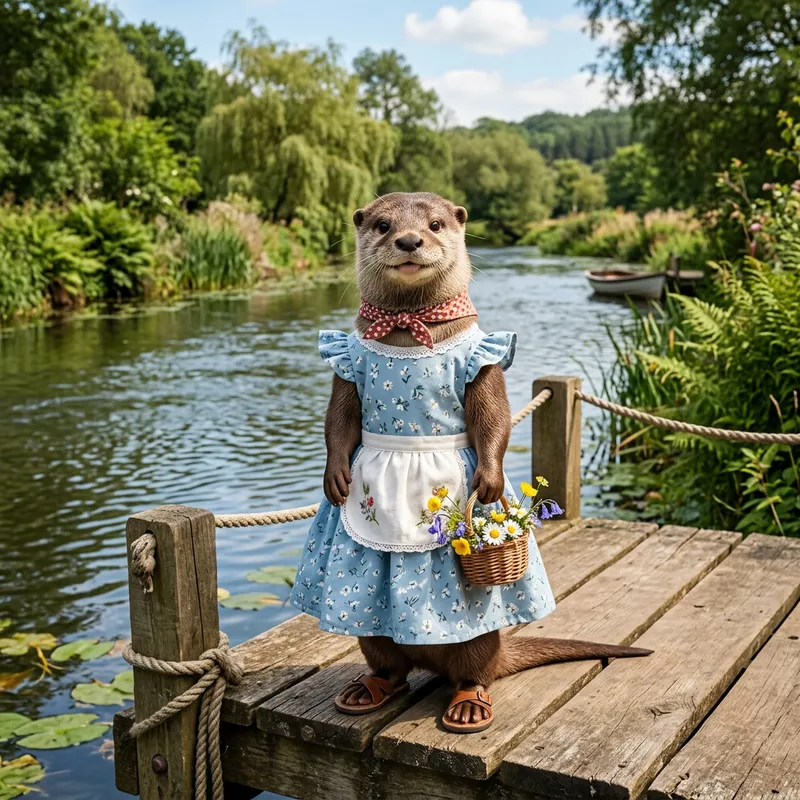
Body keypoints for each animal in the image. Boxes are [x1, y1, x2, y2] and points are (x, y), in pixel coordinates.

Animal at [320, 192, 650, 731]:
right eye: (384, 225)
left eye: (435, 224)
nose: (409, 240)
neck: (409, 333)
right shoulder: (343, 359)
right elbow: (339, 418)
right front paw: (335, 477)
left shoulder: (486, 357)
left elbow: (493, 415)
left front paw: (490, 483)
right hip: (374, 637)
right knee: (388, 661)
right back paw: (368, 689)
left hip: (480, 644)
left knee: (473, 666)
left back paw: (469, 703)